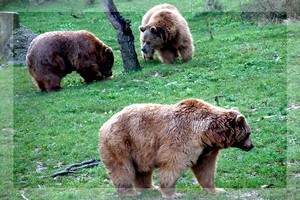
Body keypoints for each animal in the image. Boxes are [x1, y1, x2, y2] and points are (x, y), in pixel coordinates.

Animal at [99, 97, 254, 198]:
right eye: (248, 133)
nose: (251, 146)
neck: (207, 133)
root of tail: (105, 124)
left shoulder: (205, 150)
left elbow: (206, 168)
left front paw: (217, 190)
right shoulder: (183, 139)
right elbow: (173, 164)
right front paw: (173, 193)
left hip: (140, 150)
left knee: (143, 171)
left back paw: (150, 188)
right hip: (120, 143)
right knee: (122, 168)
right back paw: (130, 192)